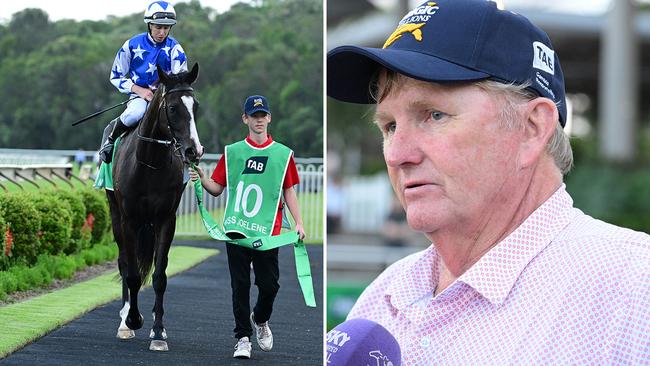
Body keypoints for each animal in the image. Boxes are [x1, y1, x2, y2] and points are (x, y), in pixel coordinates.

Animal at [105, 63, 201, 352]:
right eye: (172, 107)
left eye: (196, 106)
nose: (194, 150)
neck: (150, 164)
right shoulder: (129, 219)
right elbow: (133, 274)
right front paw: (132, 320)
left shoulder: (166, 219)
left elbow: (159, 276)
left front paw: (158, 332)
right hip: (115, 215)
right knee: (124, 263)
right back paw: (125, 320)